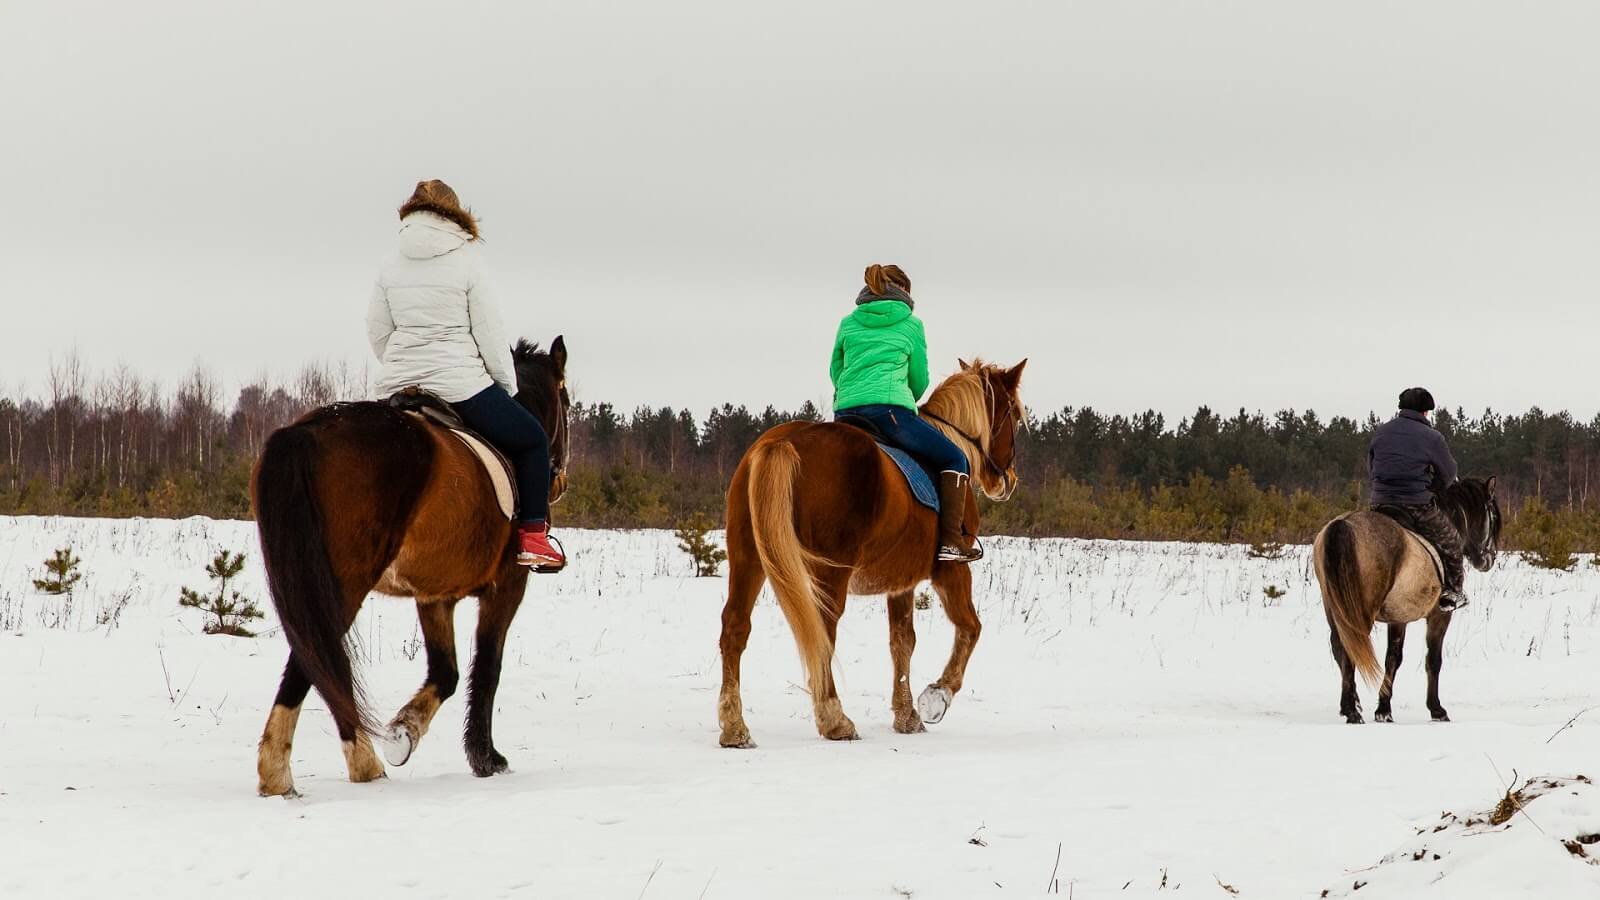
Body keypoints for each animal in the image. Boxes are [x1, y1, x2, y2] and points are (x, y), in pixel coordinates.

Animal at [252, 334, 572, 791]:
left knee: (317, 657)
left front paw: (405, 731)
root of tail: (305, 432)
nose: (558, 481)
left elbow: (446, 672)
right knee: (315, 658)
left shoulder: (434, 595)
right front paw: (485, 758)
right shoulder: (507, 586)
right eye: (566, 401)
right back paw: (338, 765)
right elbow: (487, 667)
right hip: (342, 582)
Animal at [720, 357, 1030, 743]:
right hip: (831, 570)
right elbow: (970, 628)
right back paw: (835, 719)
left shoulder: (901, 582)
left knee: (736, 626)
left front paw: (907, 715)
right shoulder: (952, 570)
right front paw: (936, 697)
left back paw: (734, 727)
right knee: (822, 632)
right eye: (1014, 412)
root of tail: (783, 442)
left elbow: (903, 642)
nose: (1009, 480)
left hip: (747, 558)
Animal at [1312, 477, 1497, 720]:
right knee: (1352, 645)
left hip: (1333, 605)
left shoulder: (1398, 617)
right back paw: (1352, 711)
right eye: (1492, 516)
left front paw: (1383, 709)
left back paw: (1350, 704)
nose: (1490, 559)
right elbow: (1433, 660)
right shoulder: (1439, 616)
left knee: (1340, 646)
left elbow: (1392, 658)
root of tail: (1344, 524)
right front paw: (1436, 709)